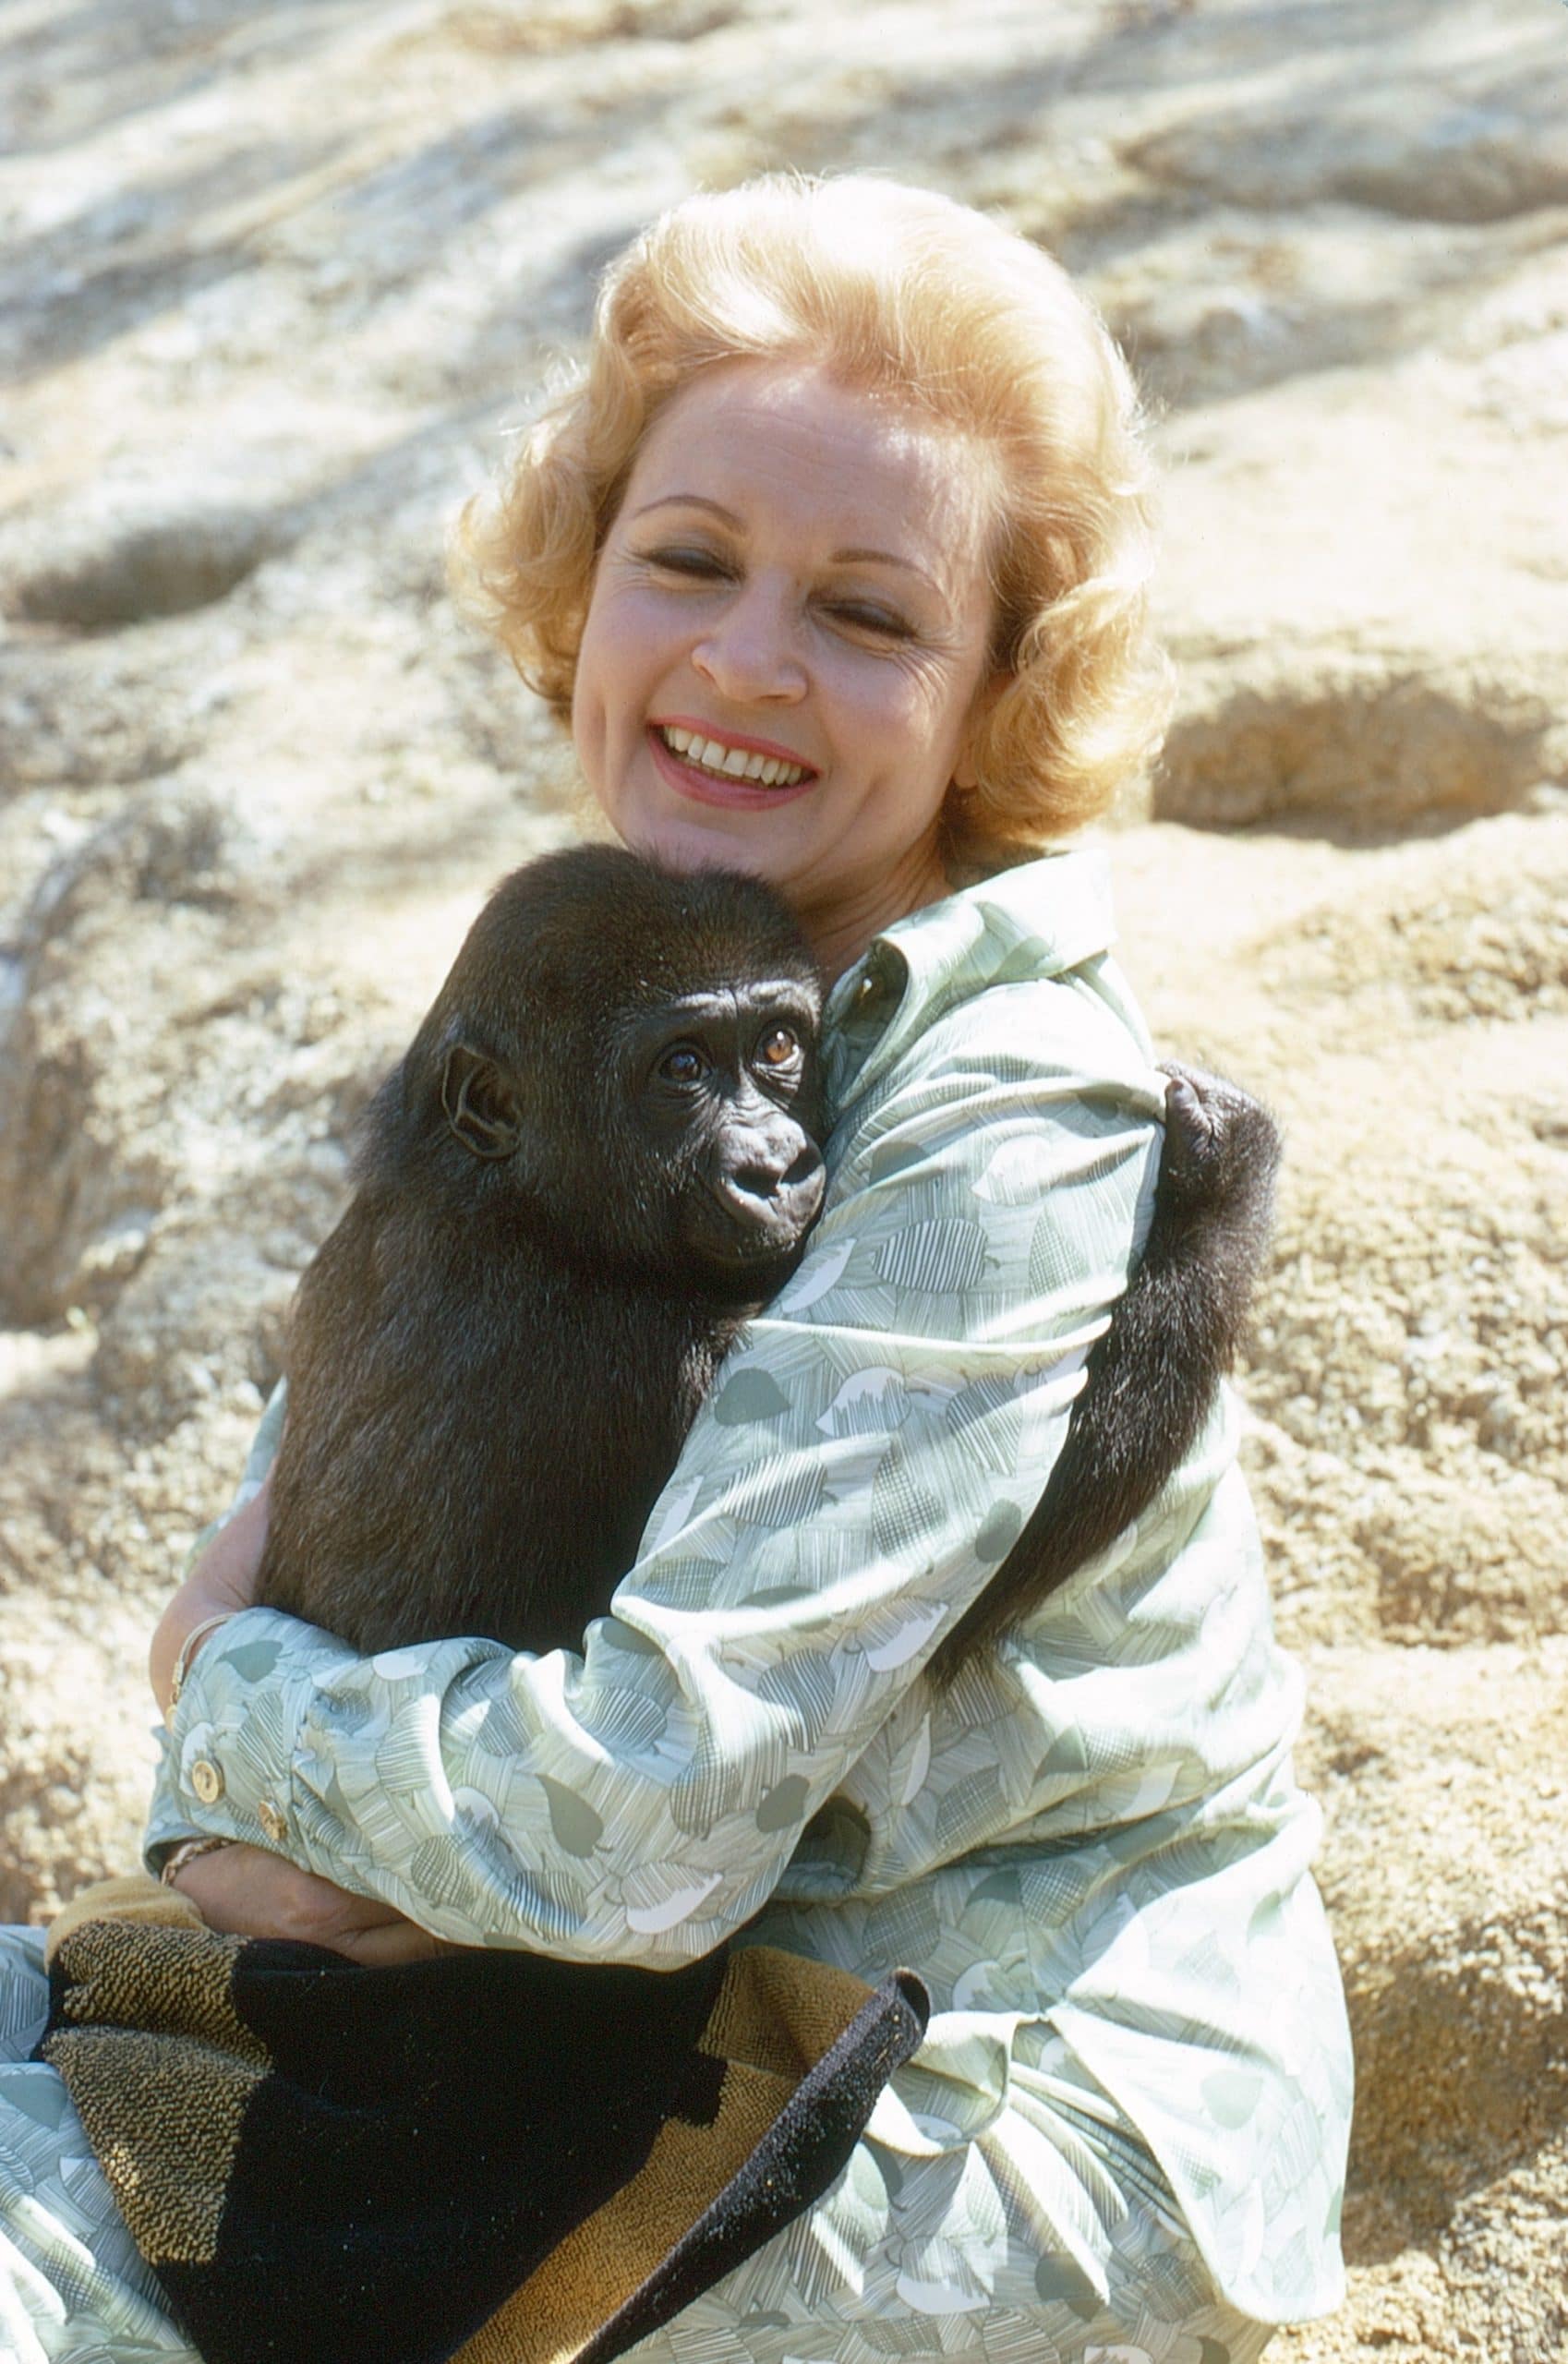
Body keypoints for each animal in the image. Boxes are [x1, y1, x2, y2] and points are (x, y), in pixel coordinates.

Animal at [258, 841, 1286, 1673]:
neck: (507, 1196)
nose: (777, 1166)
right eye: (681, 1068)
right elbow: (920, 1592)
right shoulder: (610, 1359)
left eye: (780, 1044)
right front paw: (1221, 1185)